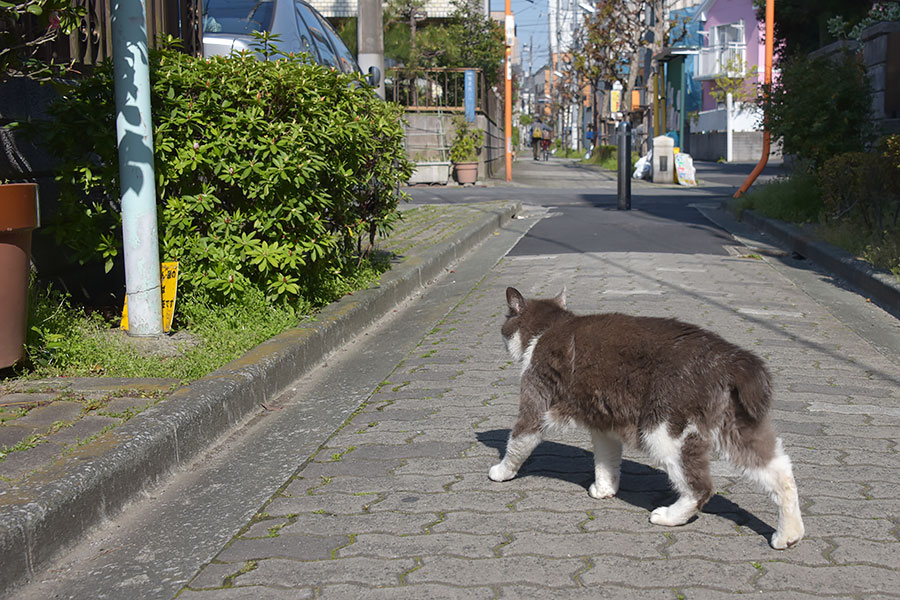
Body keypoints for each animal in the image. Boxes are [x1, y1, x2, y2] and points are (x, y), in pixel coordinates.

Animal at [488, 286, 804, 548]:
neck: (548, 329)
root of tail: (730, 356)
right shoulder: (604, 425)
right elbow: (605, 460)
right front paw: (604, 489)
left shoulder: (535, 401)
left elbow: (518, 441)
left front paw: (502, 472)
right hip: (737, 427)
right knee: (782, 472)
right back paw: (789, 535)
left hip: (663, 431)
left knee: (700, 488)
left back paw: (669, 516)